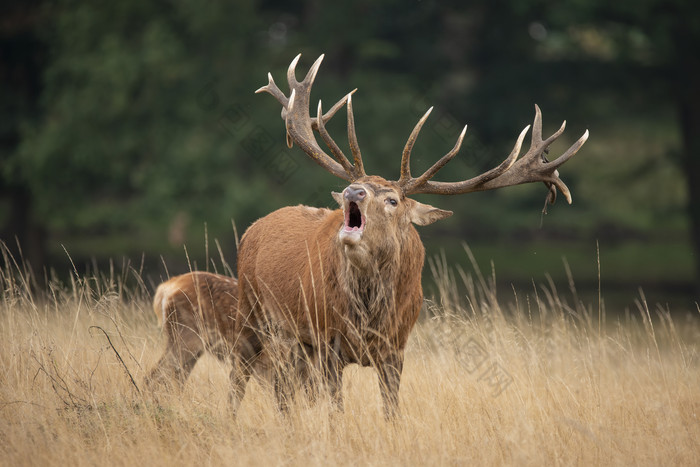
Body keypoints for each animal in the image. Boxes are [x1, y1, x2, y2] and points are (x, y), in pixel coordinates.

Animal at [232, 54, 588, 416]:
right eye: (358, 186)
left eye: (392, 200)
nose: (352, 191)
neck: (370, 316)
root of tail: (252, 228)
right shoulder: (327, 339)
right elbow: (335, 409)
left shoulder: (397, 347)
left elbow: (391, 409)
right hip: (252, 314)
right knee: (244, 378)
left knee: (283, 393)